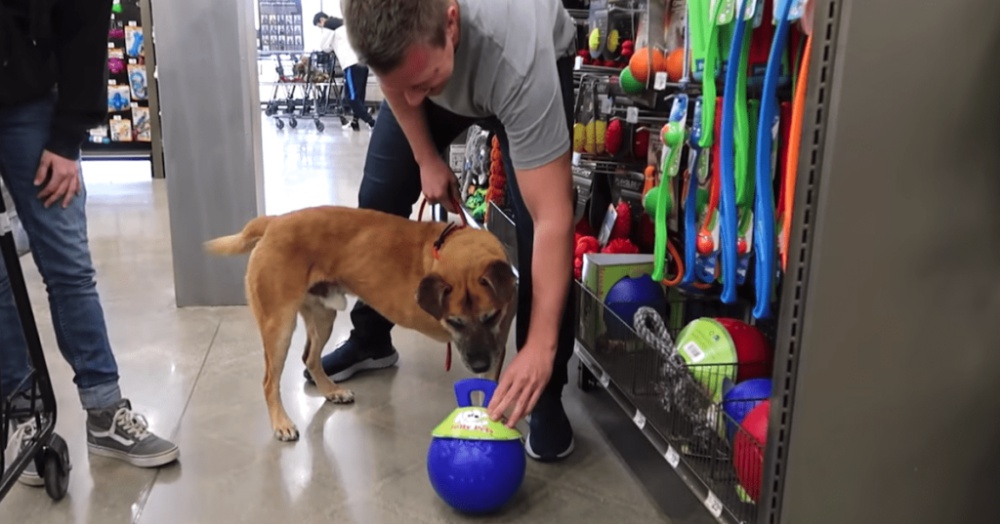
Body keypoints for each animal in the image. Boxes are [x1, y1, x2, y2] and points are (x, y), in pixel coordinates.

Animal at [203, 207, 516, 440]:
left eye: (491, 316)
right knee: (270, 381)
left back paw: (331, 391)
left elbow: (490, 388)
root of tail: (274, 221)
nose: (479, 364)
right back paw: (281, 422)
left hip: (323, 317)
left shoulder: (498, 346)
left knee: (310, 358)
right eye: (454, 322)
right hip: (279, 326)